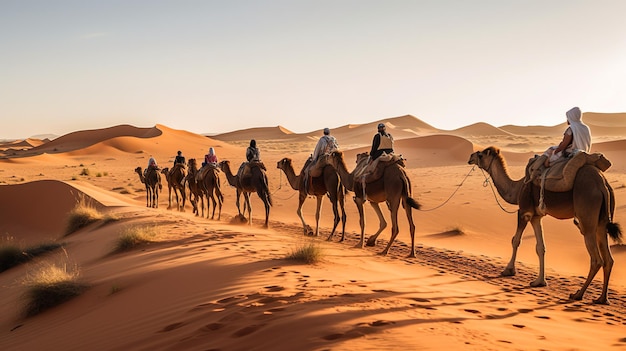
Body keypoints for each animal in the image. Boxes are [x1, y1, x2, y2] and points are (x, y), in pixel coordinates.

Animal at [468, 146, 620, 306]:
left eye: (480, 154)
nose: (471, 156)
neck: (516, 188)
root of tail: (602, 184)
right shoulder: (536, 217)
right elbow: (540, 247)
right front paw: (539, 281)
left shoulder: (524, 212)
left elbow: (516, 240)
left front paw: (508, 270)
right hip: (602, 222)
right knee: (608, 259)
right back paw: (602, 298)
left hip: (587, 214)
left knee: (596, 259)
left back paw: (578, 294)